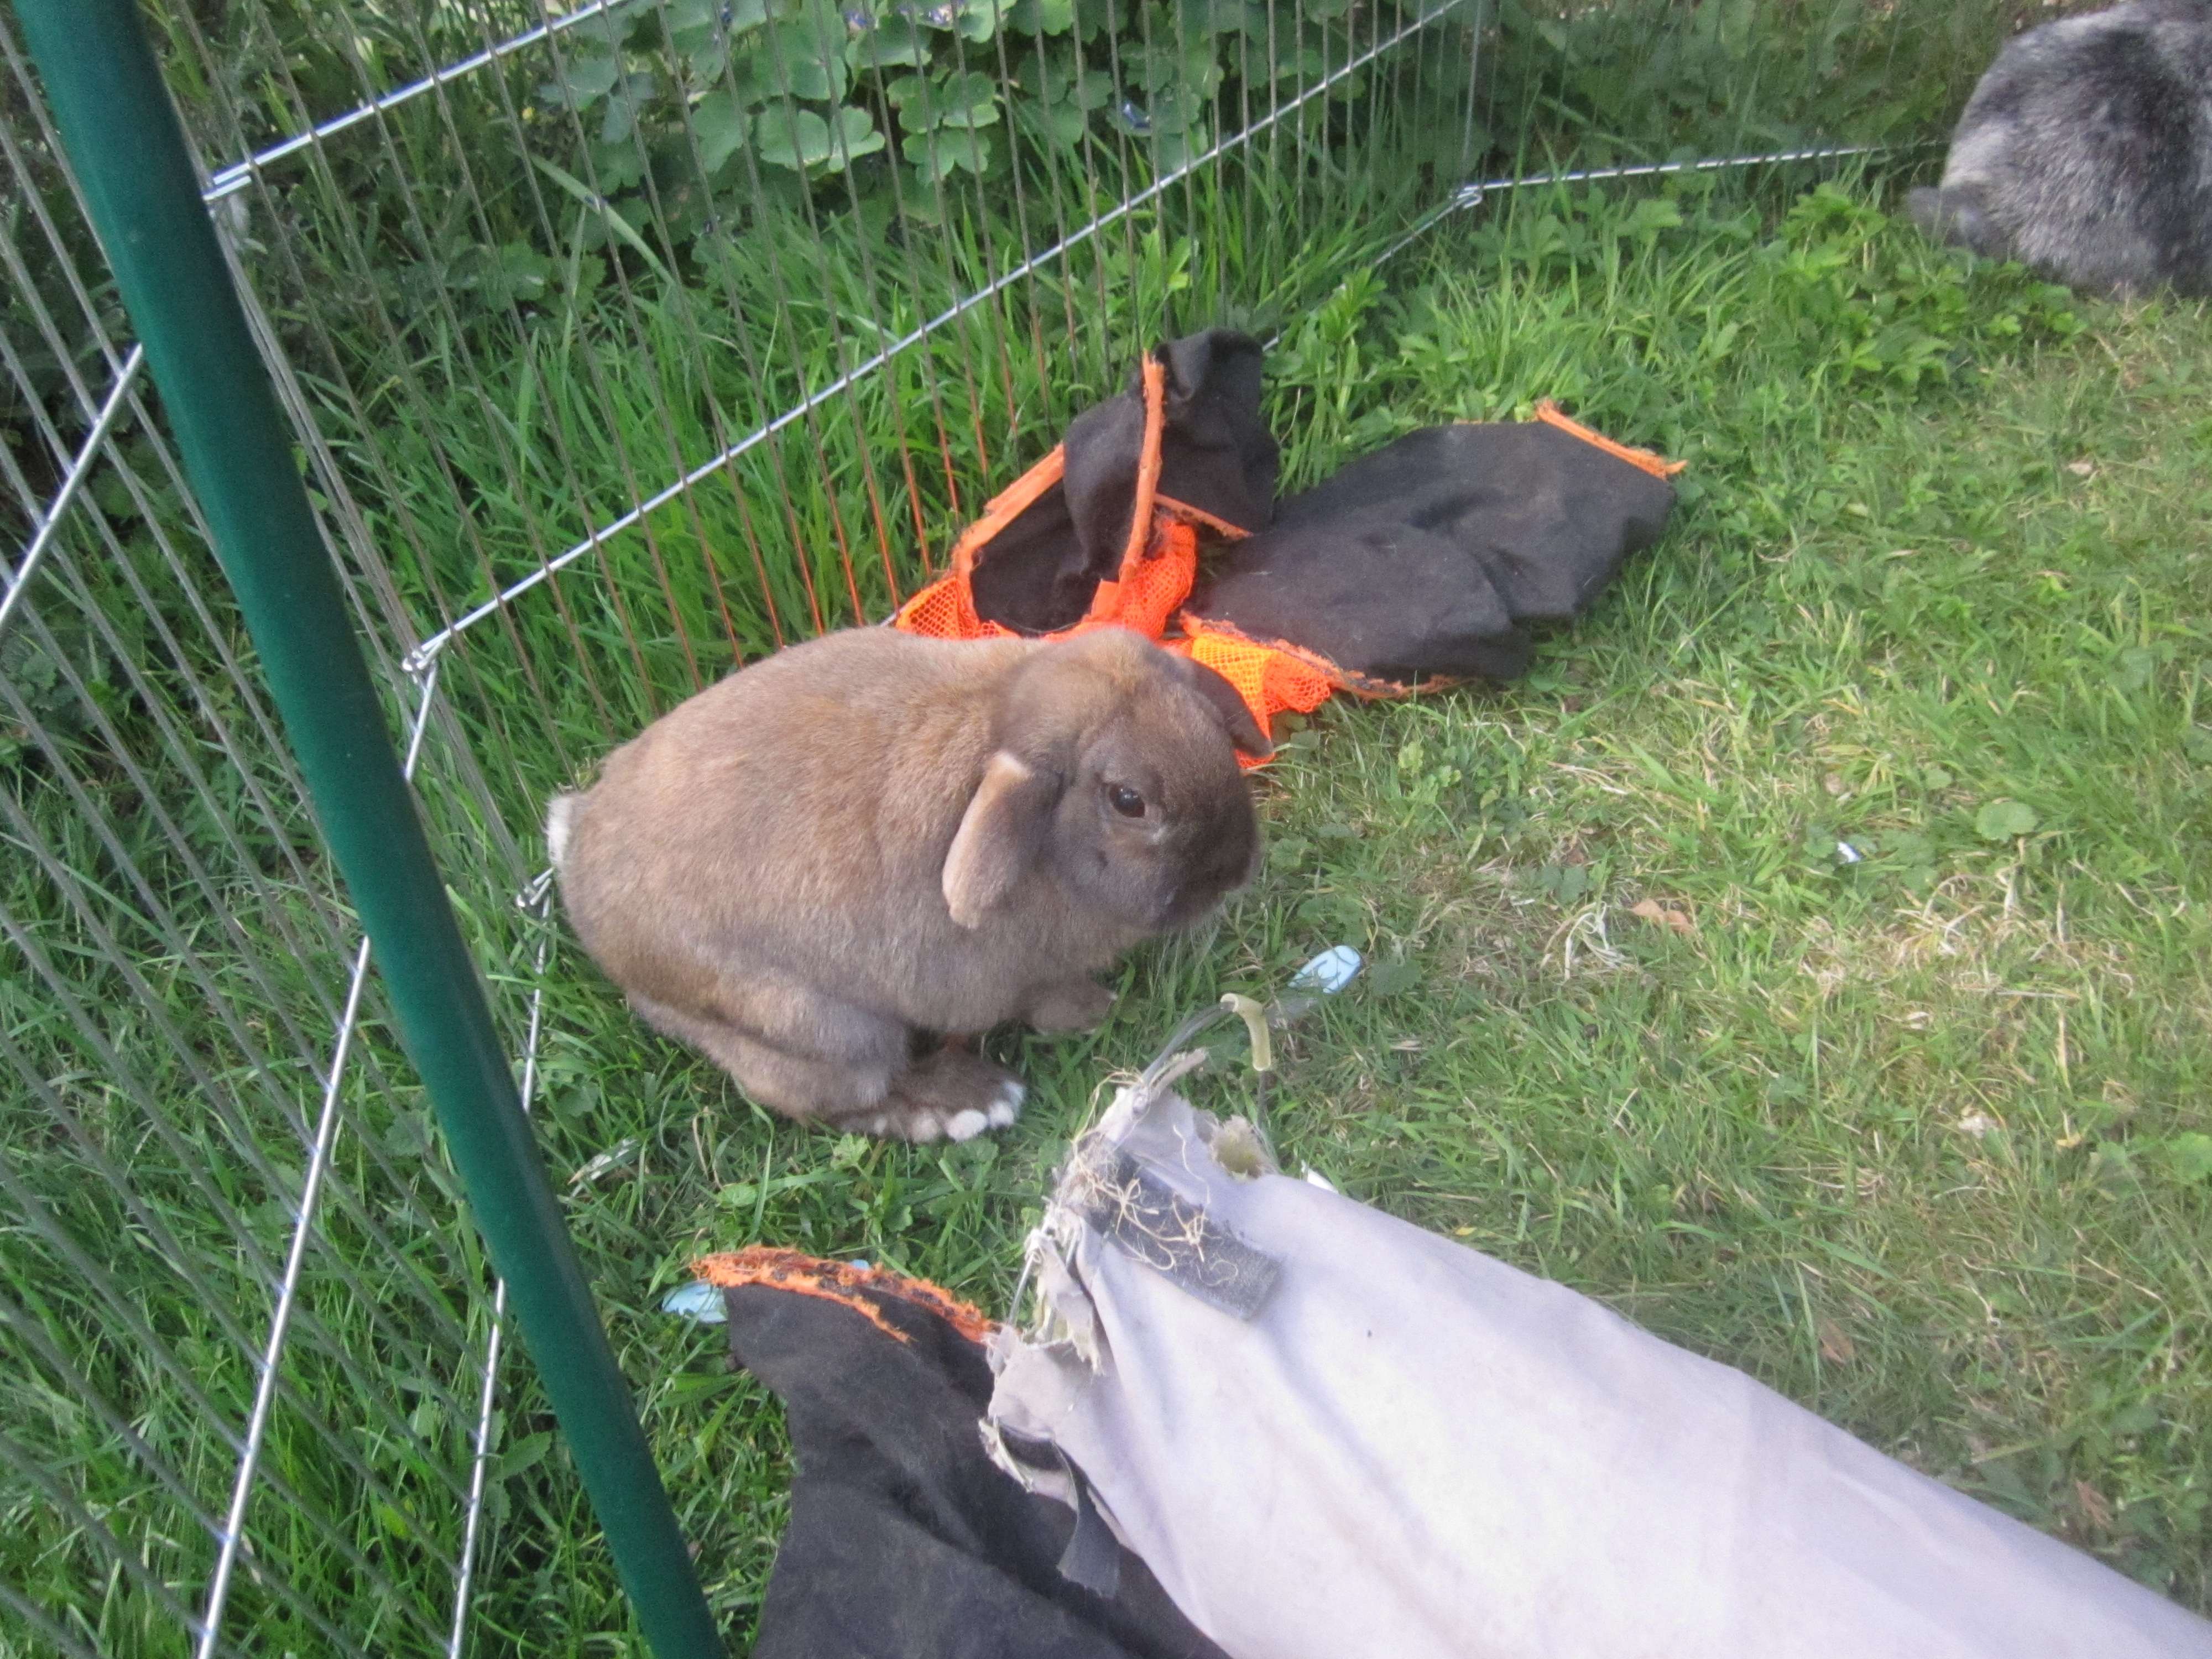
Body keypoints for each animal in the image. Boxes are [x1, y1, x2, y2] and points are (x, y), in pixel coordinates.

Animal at [546, 624, 1268, 1143]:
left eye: (1208, 723)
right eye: (1128, 800)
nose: (1235, 871)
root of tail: (584, 900)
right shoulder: (1027, 978)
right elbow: (1054, 1004)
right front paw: (1102, 1011)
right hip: (817, 1029)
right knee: (839, 1102)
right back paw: (967, 1105)